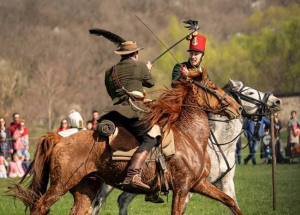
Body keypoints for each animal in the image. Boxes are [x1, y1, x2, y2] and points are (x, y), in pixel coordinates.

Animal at [7, 79, 243, 215]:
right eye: (212, 88)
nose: (238, 108)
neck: (189, 136)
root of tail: (61, 138)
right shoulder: (182, 188)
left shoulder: (199, 184)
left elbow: (231, 201)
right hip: (60, 185)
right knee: (40, 206)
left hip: (85, 189)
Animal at [90, 79, 282, 215]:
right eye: (250, 92)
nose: (277, 101)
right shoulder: (186, 188)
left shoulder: (220, 183)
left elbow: (232, 203)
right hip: (109, 183)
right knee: (98, 203)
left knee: (121, 200)